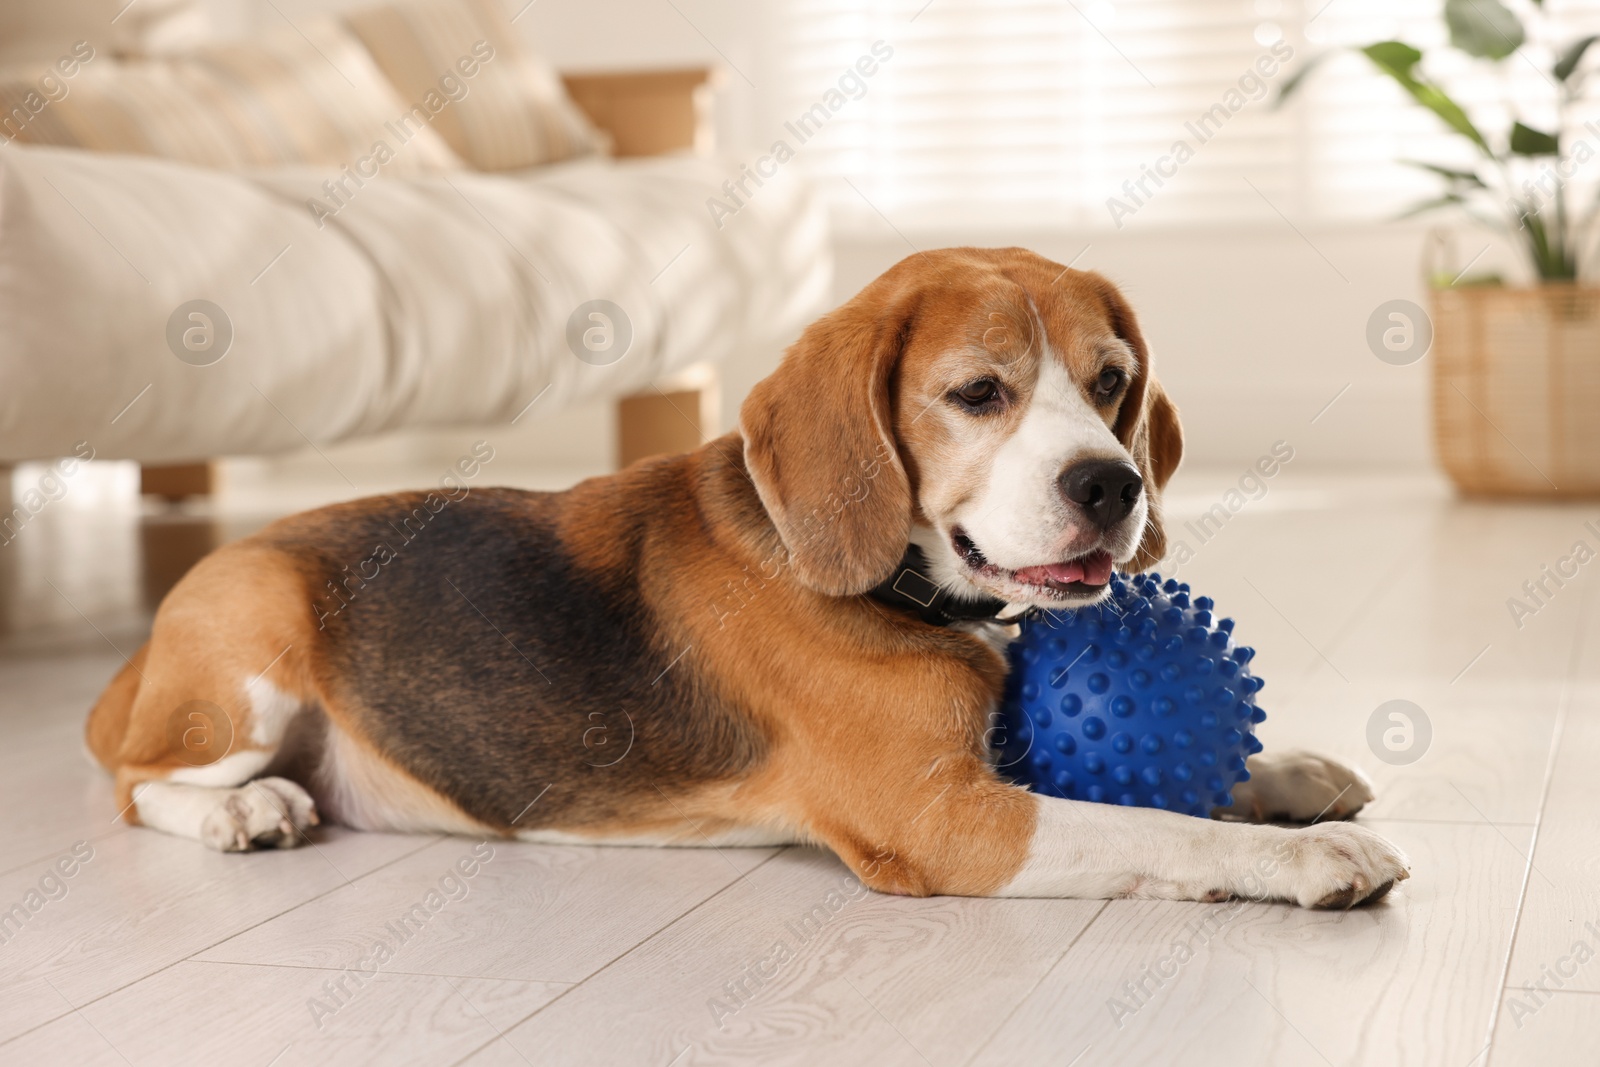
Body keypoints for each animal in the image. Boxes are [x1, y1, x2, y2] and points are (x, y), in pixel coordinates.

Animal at [93, 246, 1408, 908]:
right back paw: (240, 808)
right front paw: (1303, 859)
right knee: (139, 783)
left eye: (1111, 381)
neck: (889, 582)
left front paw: (1289, 774)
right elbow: (1153, 825)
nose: (1111, 484)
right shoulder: (944, 821)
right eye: (977, 392)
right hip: (253, 634)